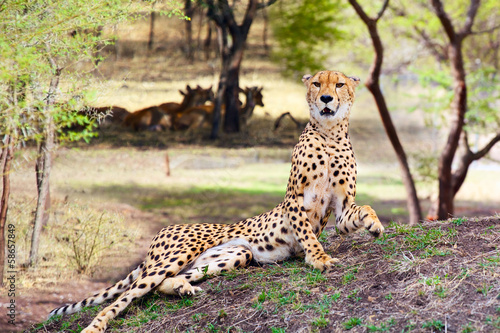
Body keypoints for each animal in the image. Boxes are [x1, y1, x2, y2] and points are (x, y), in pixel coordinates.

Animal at [48, 69, 384, 330]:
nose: (326, 99)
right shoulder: (295, 200)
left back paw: (182, 287)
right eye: (316, 83)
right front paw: (319, 258)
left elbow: (362, 208)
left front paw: (374, 225)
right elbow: (307, 234)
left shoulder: (340, 210)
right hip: (177, 254)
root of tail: (166, 229)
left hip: (234, 255)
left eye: (338, 84)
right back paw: (95, 326)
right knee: (126, 296)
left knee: (164, 284)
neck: (330, 135)